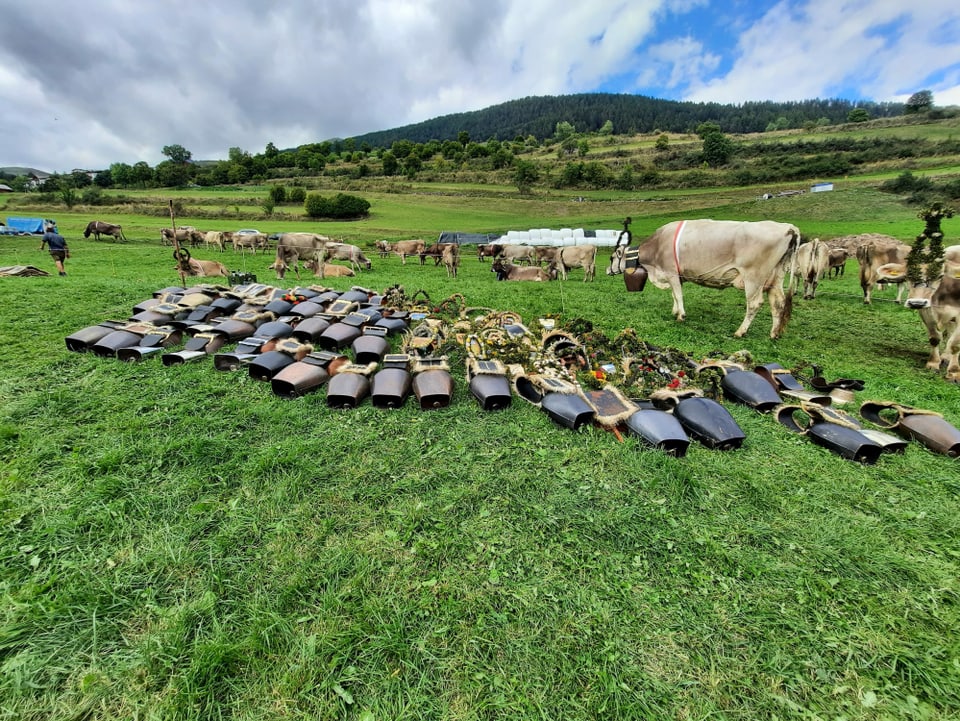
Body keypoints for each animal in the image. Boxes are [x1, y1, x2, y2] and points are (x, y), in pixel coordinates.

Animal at [608, 218, 804, 338]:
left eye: (611, 258)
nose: (607, 270)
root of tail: (787, 227)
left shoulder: (671, 272)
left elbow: (677, 295)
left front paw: (681, 316)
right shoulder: (676, 275)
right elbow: (674, 295)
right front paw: (675, 311)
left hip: (754, 277)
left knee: (755, 304)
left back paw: (740, 331)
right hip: (775, 278)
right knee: (777, 304)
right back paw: (774, 333)